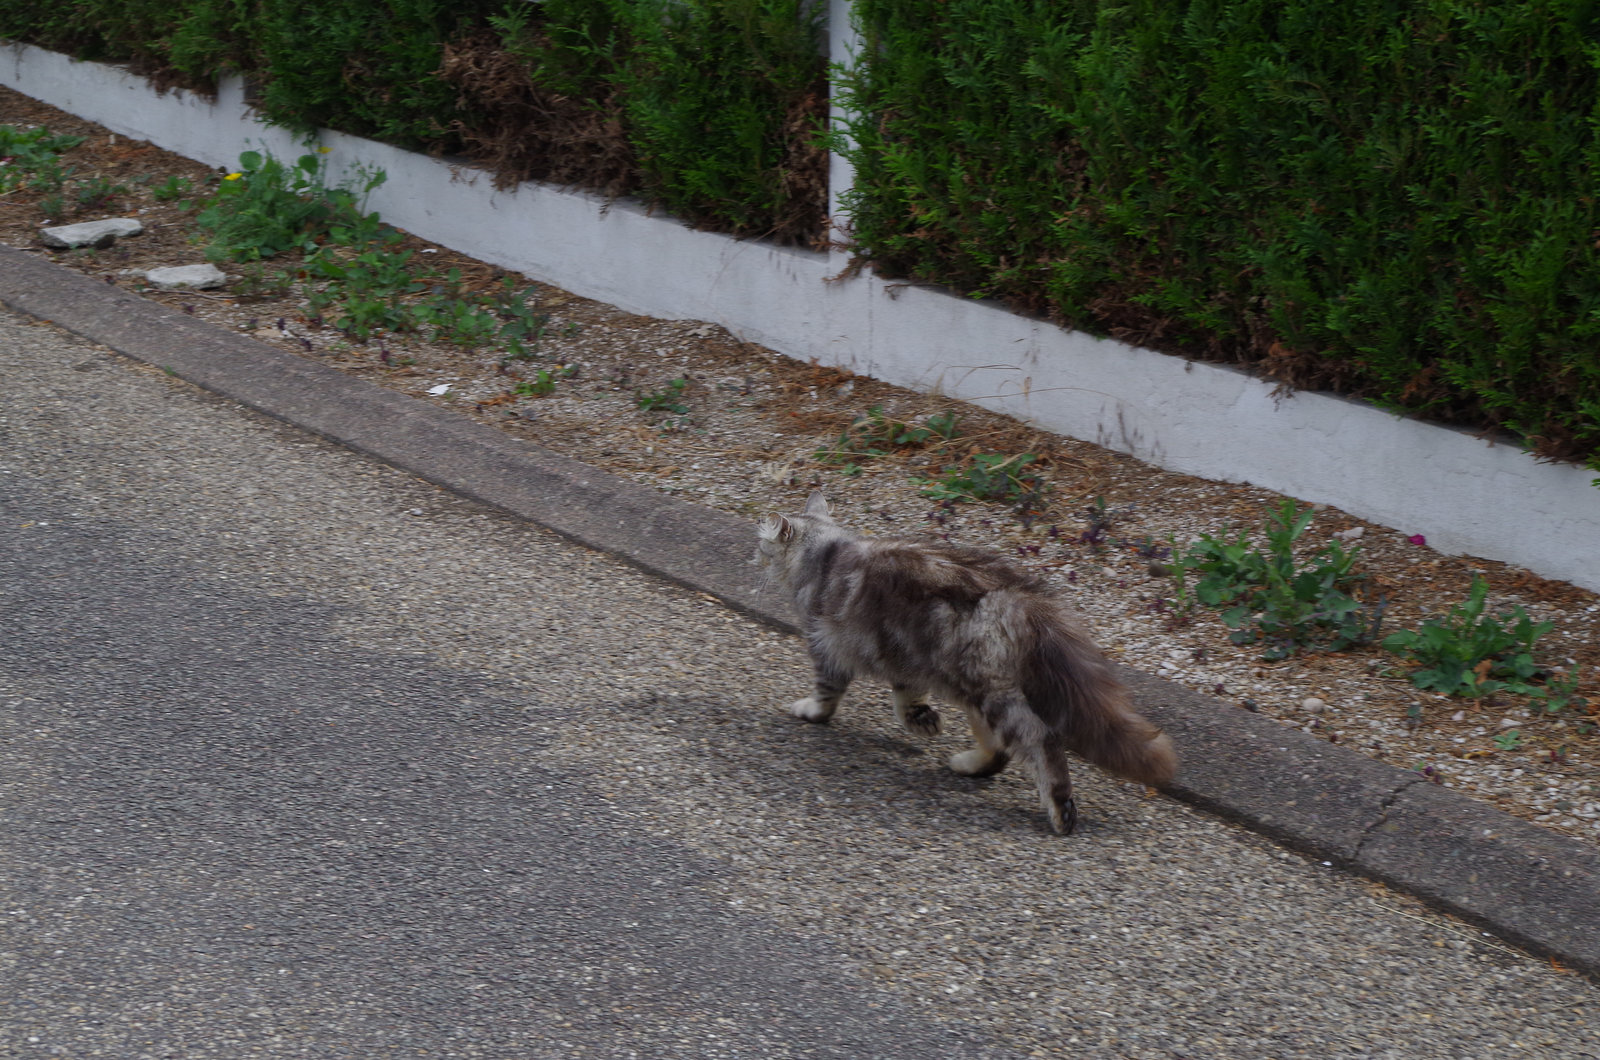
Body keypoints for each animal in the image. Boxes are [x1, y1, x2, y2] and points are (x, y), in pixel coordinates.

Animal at [755, 493, 1184, 832]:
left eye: (762, 546)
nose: (755, 557)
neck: (825, 551)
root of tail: (1022, 599)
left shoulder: (826, 645)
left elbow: (827, 694)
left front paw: (811, 712)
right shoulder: (901, 658)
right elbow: (905, 699)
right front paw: (922, 721)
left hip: (991, 693)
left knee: (1038, 743)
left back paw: (1060, 810)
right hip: (970, 689)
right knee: (998, 751)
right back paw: (968, 764)